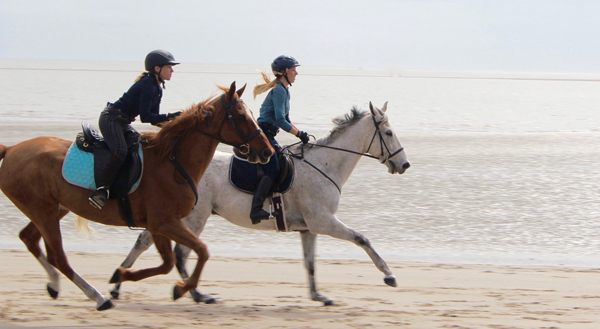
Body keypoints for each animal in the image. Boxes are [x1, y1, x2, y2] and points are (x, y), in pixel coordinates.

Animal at [0, 80, 274, 308]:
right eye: (241, 116)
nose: (267, 152)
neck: (174, 163)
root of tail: (11, 149)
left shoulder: (159, 224)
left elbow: (169, 262)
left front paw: (124, 275)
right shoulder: (164, 222)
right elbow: (200, 251)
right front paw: (179, 288)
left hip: (54, 209)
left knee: (29, 238)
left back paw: (55, 284)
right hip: (43, 211)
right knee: (58, 257)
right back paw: (98, 297)